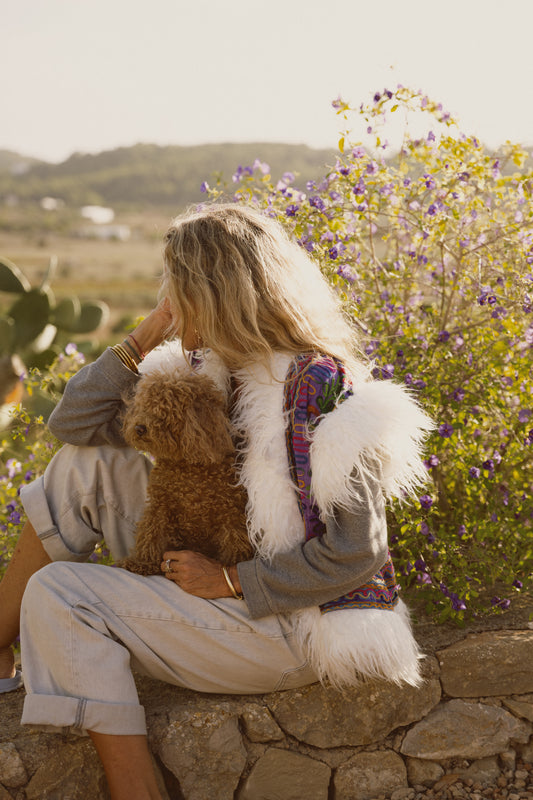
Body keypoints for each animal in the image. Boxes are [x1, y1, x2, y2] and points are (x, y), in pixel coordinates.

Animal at [118, 368, 254, 576]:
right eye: (143, 406)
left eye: (165, 410)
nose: (139, 428)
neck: (187, 467)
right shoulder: (159, 506)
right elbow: (151, 535)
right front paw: (141, 563)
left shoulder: (230, 515)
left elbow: (235, 544)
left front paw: (231, 565)